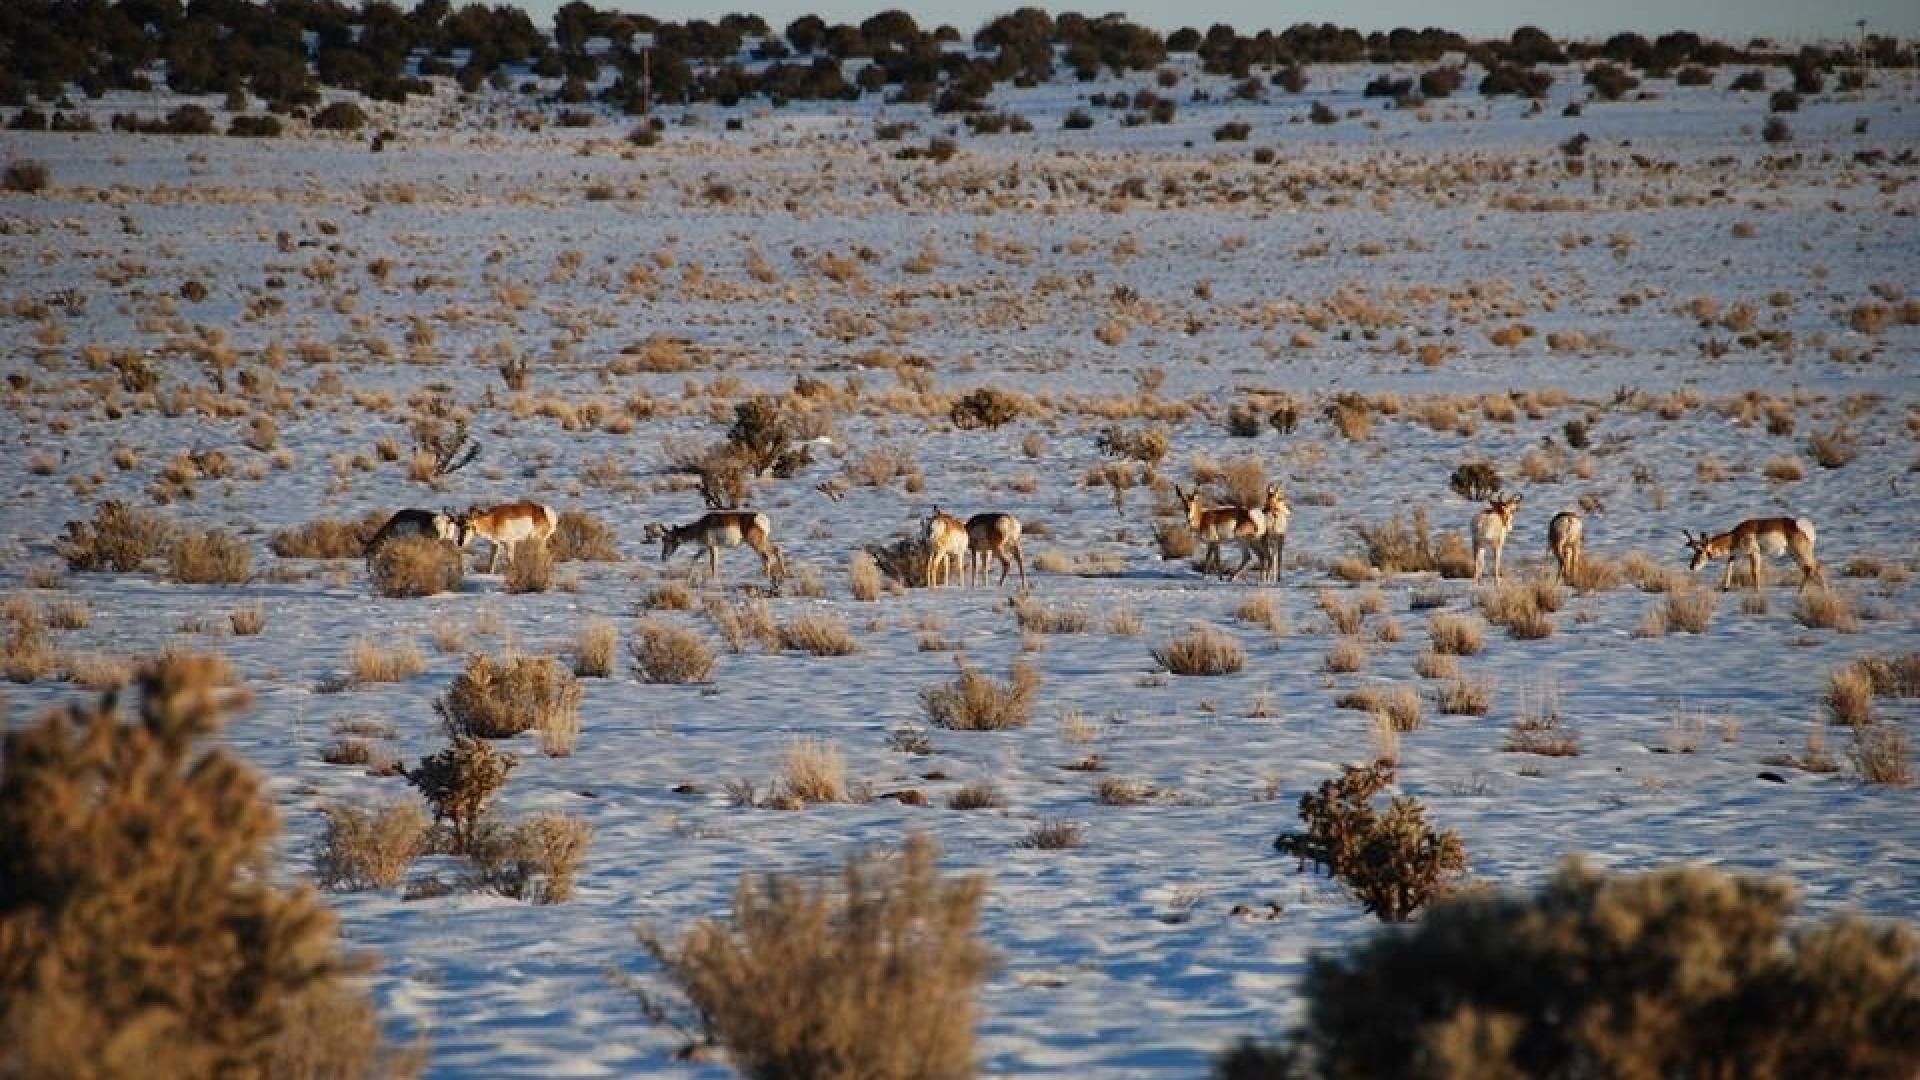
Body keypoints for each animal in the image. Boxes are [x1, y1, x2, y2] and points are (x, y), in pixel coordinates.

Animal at [648, 507, 783, 584]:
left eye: (667, 539)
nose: (663, 557)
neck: (700, 526)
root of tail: (760, 517)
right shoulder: (705, 548)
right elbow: (694, 559)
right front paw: (688, 578)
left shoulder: (712, 547)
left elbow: (713, 564)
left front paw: (714, 581)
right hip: (762, 541)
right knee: (777, 550)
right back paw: (783, 573)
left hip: (755, 543)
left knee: (766, 556)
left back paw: (766, 578)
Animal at [1689, 518, 1820, 591]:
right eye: (1694, 550)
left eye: (1700, 550)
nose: (1691, 566)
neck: (1734, 536)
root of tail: (1798, 525)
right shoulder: (1735, 555)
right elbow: (1729, 567)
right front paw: (1725, 588)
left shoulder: (1754, 553)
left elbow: (1754, 573)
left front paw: (1757, 593)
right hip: (1793, 553)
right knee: (1810, 569)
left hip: (1800, 551)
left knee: (1815, 567)